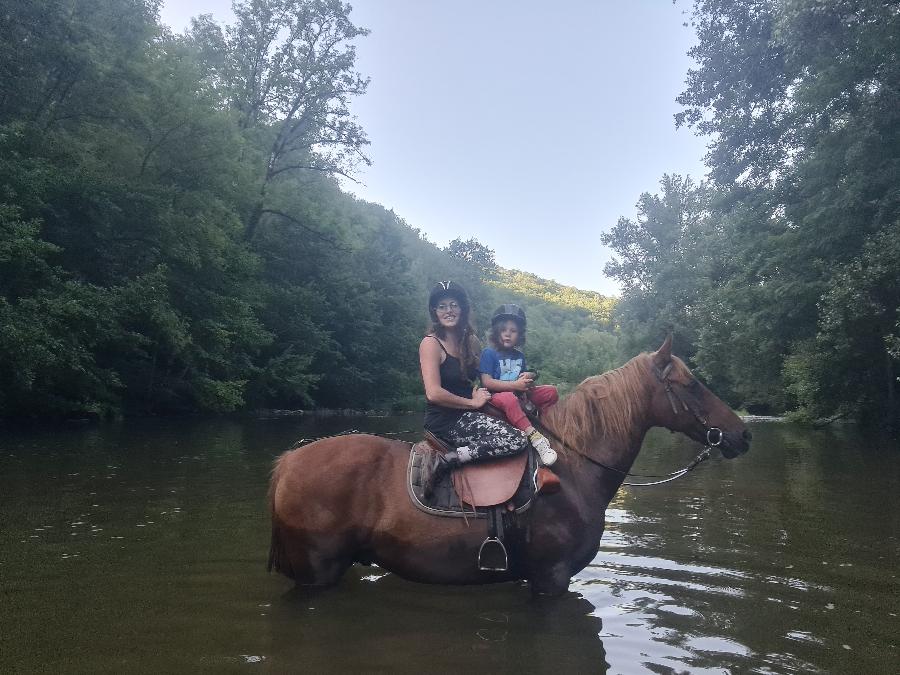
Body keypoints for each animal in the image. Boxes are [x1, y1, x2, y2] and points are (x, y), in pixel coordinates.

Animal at [268, 338, 752, 596]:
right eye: (691, 384)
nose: (742, 434)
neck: (576, 468)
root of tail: (289, 460)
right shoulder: (552, 578)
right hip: (317, 571)